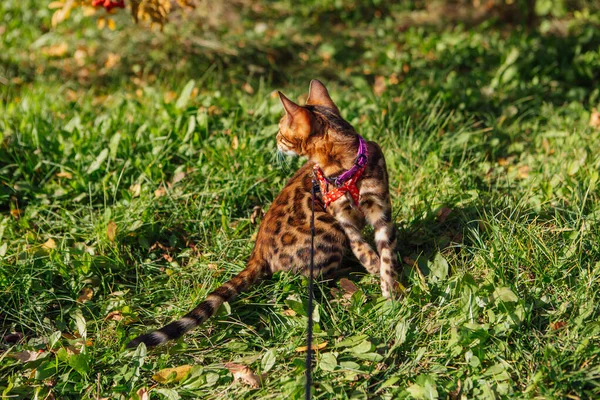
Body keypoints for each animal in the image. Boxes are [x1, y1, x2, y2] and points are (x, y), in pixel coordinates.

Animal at [125, 79, 398, 348]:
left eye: (281, 130)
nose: (275, 140)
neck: (345, 167)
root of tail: (257, 253)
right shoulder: (341, 216)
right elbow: (361, 247)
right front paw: (378, 273)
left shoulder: (381, 209)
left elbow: (386, 254)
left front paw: (391, 292)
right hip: (327, 230)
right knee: (314, 277)